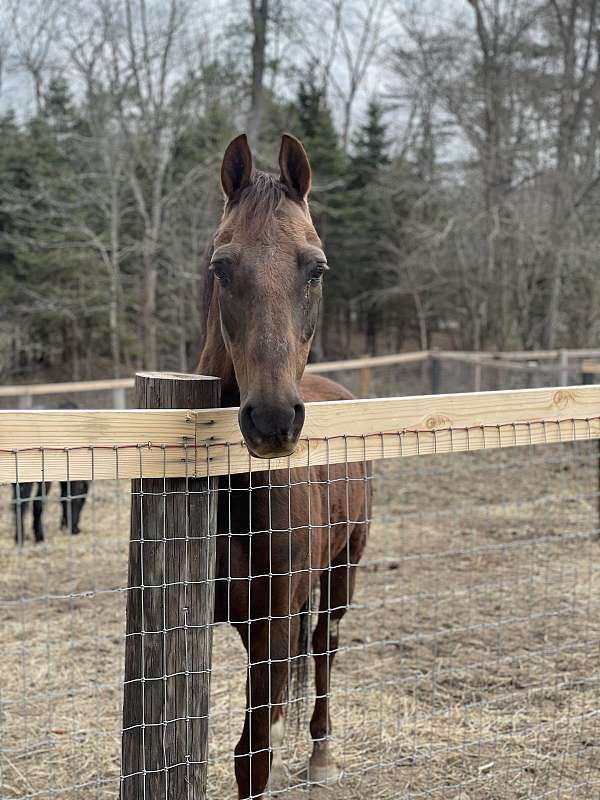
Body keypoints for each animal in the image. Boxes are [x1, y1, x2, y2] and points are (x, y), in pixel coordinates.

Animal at [198, 133, 370, 800]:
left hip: (345, 569)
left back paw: (322, 753)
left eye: (315, 268)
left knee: (324, 646)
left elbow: (254, 754)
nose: (272, 419)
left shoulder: (271, 625)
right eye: (221, 266)